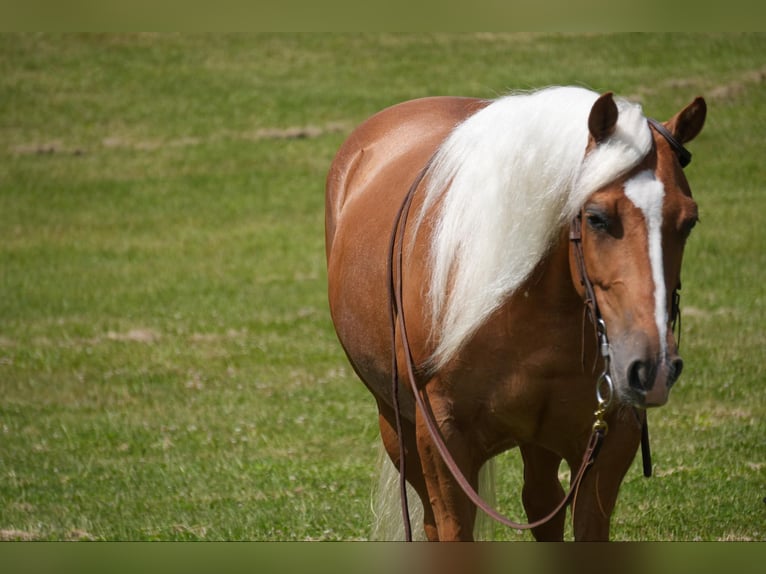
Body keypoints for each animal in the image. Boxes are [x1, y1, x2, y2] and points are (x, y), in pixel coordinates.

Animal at [324, 88, 708, 544]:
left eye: (688, 221)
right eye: (596, 218)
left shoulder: (612, 438)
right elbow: (451, 529)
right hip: (396, 425)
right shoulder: (442, 442)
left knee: (542, 502)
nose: (650, 364)